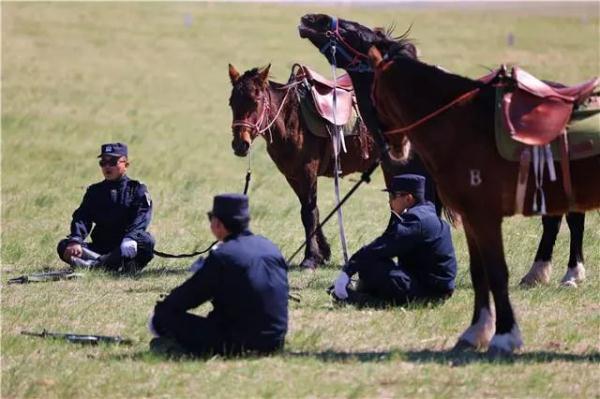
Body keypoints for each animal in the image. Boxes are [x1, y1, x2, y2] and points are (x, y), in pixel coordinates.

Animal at [300, 14, 600, 354]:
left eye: (353, 30)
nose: (311, 19)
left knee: (572, 220)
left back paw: (571, 273)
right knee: (555, 221)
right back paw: (538, 272)